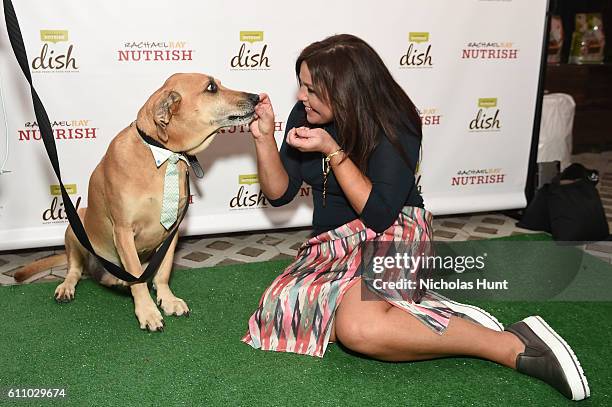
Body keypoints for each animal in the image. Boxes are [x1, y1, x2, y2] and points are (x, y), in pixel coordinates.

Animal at [14, 73, 258, 332]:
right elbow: (138, 278)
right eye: (211, 87)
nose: (256, 97)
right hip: (75, 224)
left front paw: (167, 299)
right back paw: (69, 286)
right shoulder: (123, 230)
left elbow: (162, 272)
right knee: (75, 270)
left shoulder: (173, 231)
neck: (161, 153)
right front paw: (147, 311)